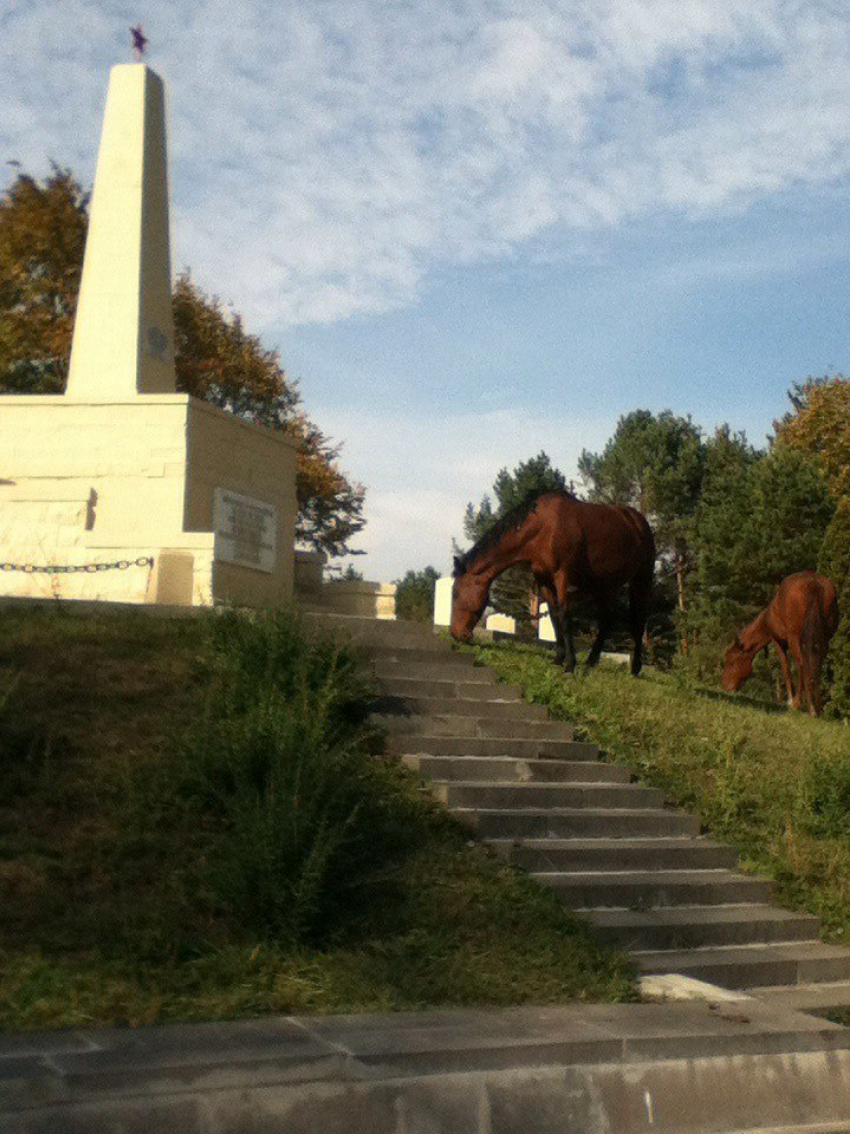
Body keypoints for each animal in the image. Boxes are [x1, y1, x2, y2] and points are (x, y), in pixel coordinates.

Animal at [453, 487, 657, 671]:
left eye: (455, 594)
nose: (456, 634)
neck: (543, 528)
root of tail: (639, 521)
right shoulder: (544, 581)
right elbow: (553, 617)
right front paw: (559, 658)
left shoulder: (562, 578)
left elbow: (565, 617)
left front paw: (570, 664)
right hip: (605, 586)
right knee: (607, 620)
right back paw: (590, 662)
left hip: (642, 580)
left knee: (639, 621)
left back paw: (635, 668)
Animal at [725, 571, 838, 712]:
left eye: (731, 661)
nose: (725, 686)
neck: (769, 616)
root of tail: (814, 584)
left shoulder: (778, 642)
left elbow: (786, 669)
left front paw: (791, 701)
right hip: (824, 640)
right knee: (816, 664)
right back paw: (816, 706)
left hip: (795, 639)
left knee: (802, 664)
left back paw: (802, 704)